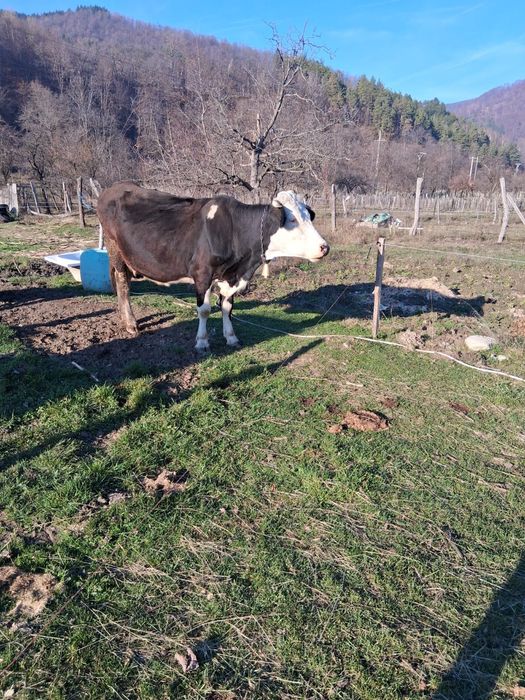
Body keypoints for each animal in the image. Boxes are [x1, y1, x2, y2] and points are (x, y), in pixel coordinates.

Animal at [97, 182, 329, 351]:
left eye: (308, 217)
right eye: (292, 219)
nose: (325, 247)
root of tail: (113, 187)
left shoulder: (231, 275)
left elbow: (227, 307)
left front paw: (231, 337)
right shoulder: (202, 274)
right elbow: (205, 310)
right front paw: (202, 342)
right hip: (116, 251)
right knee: (123, 285)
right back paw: (130, 323)